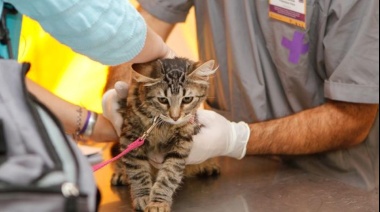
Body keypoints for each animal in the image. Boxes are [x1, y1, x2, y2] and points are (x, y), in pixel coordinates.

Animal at [110, 57, 220, 211]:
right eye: (162, 100)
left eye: (187, 99)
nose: (175, 117)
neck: (163, 125)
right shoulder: (131, 137)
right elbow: (138, 171)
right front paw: (143, 197)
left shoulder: (182, 143)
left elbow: (168, 175)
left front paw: (158, 202)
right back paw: (120, 173)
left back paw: (209, 165)